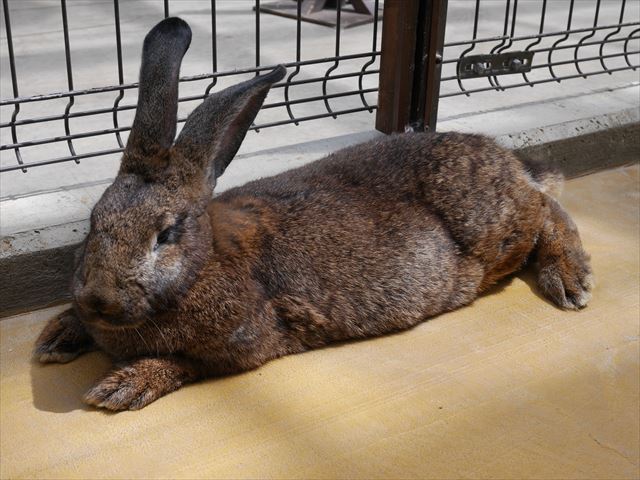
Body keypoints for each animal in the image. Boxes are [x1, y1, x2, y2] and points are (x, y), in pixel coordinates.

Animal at [35, 16, 592, 410]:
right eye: (93, 223)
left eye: (166, 234)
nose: (98, 299)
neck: (203, 265)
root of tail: (507, 158)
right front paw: (57, 336)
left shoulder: (244, 341)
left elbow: (185, 363)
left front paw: (122, 386)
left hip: (496, 229)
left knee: (547, 209)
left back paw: (570, 280)